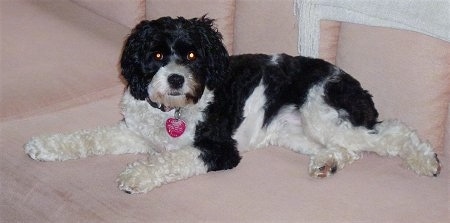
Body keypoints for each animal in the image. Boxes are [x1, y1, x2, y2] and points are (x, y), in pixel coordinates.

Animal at [23, 16, 440, 193]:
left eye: (192, 55)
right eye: (156, 55)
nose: (175, 79)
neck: (174, 110)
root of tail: (352, 82)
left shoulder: (220, 150)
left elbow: (171, 160)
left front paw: (137, 176)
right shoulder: (136, 133)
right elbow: (89, 137)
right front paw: (44, 145)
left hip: (324, 115)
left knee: (394, 133)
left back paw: (427, 162)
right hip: (297, 134)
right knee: (349, 150)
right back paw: (326, 164)